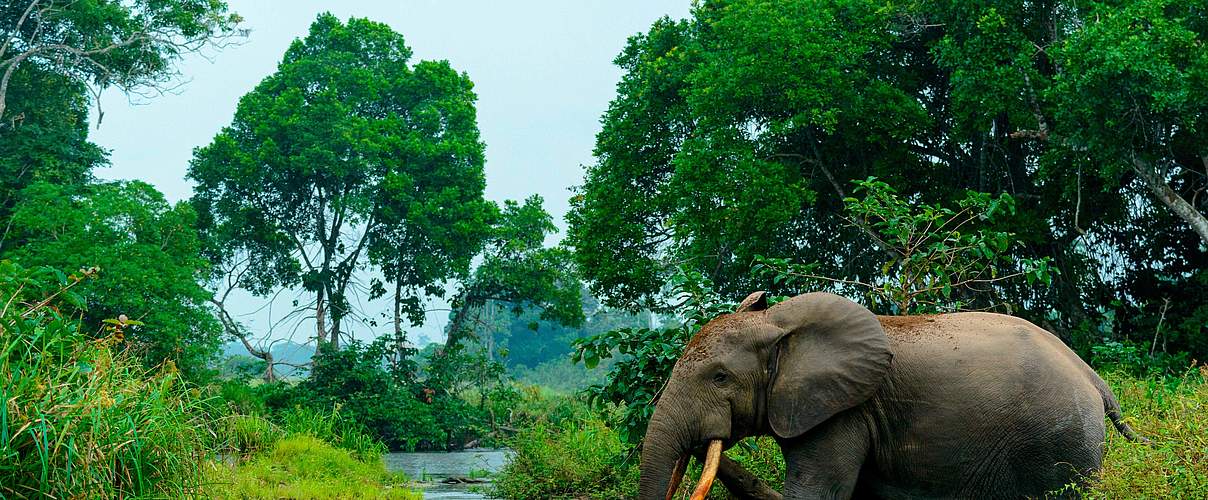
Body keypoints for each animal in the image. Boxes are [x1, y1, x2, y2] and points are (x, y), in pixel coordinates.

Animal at [642, 291, 1140, 500]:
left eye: (719, 378)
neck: (779, 321)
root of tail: (1094, 379)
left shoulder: (842, 412)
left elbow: (817, 492)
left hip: (1061, 442)